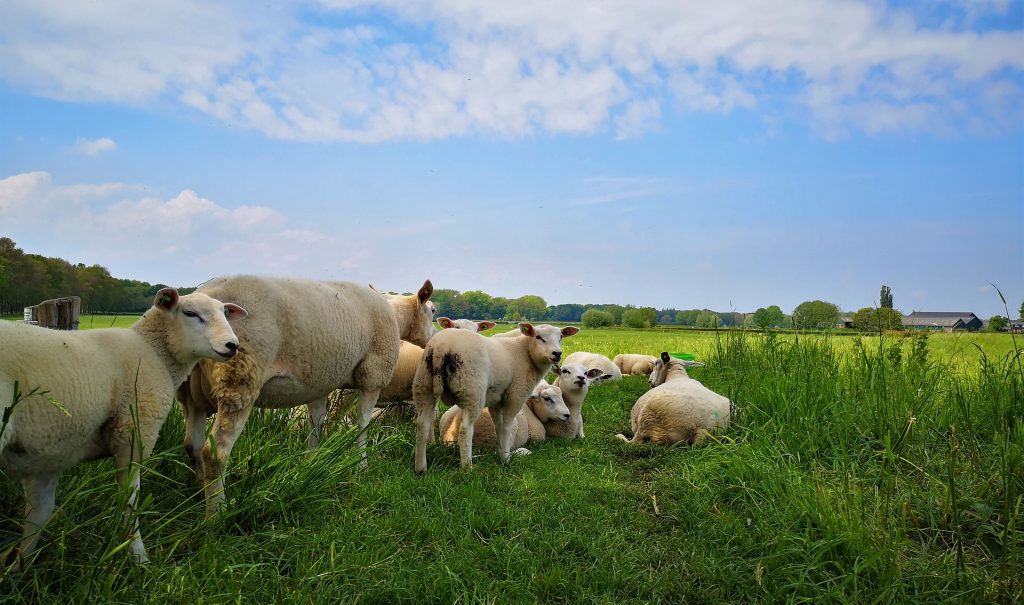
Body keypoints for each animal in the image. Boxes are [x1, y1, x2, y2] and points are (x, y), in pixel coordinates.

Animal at [0, 288, 245, 569]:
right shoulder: (133, 433)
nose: (232, 345)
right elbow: (130, 501)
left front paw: (18, 568)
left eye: (225, 313)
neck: (153, 350)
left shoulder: (49, 452)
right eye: (190, 313)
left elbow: (38, 514)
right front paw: (139, 559)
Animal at [176, 274, 432, 515]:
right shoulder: (373, 375)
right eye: (432, 310)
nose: (432, 340)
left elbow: (316, 423)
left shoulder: (319, 384)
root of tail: (205, 291)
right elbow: (362, 423)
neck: (396, 318)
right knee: (215, 453)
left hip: (190, 390)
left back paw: (199, 495)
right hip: (240, 379)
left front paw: (311, 461)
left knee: (192, 444)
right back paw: (217, 513)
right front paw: (361, 464)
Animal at [436, 382, 573, 454]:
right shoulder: (538, 435)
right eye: (547, 398)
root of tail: (450, 438)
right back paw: (523, 451)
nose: (567, 415)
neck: (529, 406)